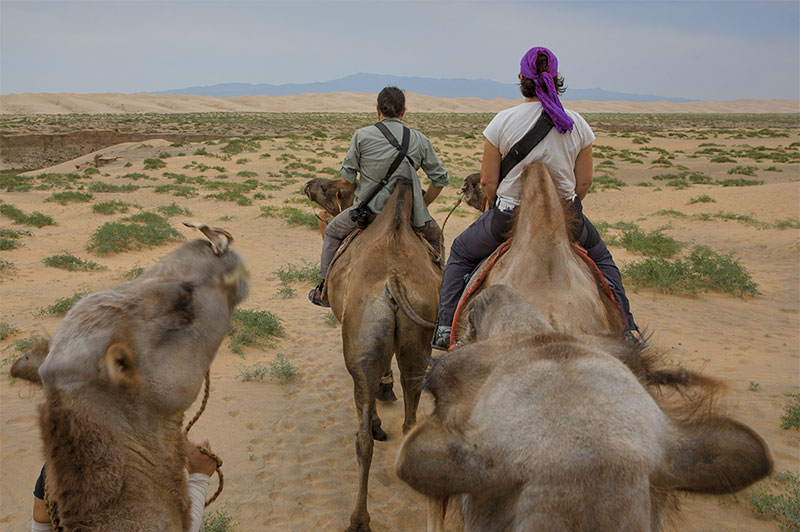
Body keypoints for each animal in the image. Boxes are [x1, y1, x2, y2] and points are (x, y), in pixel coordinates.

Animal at [325, 178, 441, 532]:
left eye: (330, 189)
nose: (308, 187)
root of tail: (393, 279)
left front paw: (380, 411)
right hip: (418, 331)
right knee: (410, 414)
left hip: (361, 340)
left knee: (362, 435)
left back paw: (358, 519)